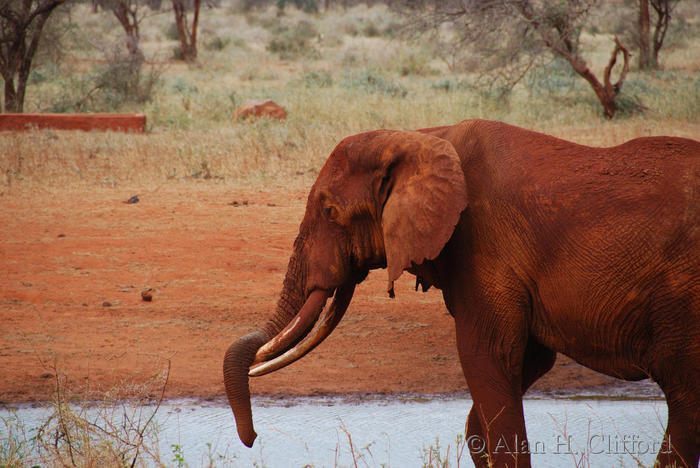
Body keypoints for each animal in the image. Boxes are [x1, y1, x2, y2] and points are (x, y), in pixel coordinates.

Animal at [223, 119, 700, 468]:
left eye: (329, 211)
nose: (251, 439)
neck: (423, 137)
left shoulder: (483, 243)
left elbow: (486, 358)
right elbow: (522, 365)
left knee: (683, 396)